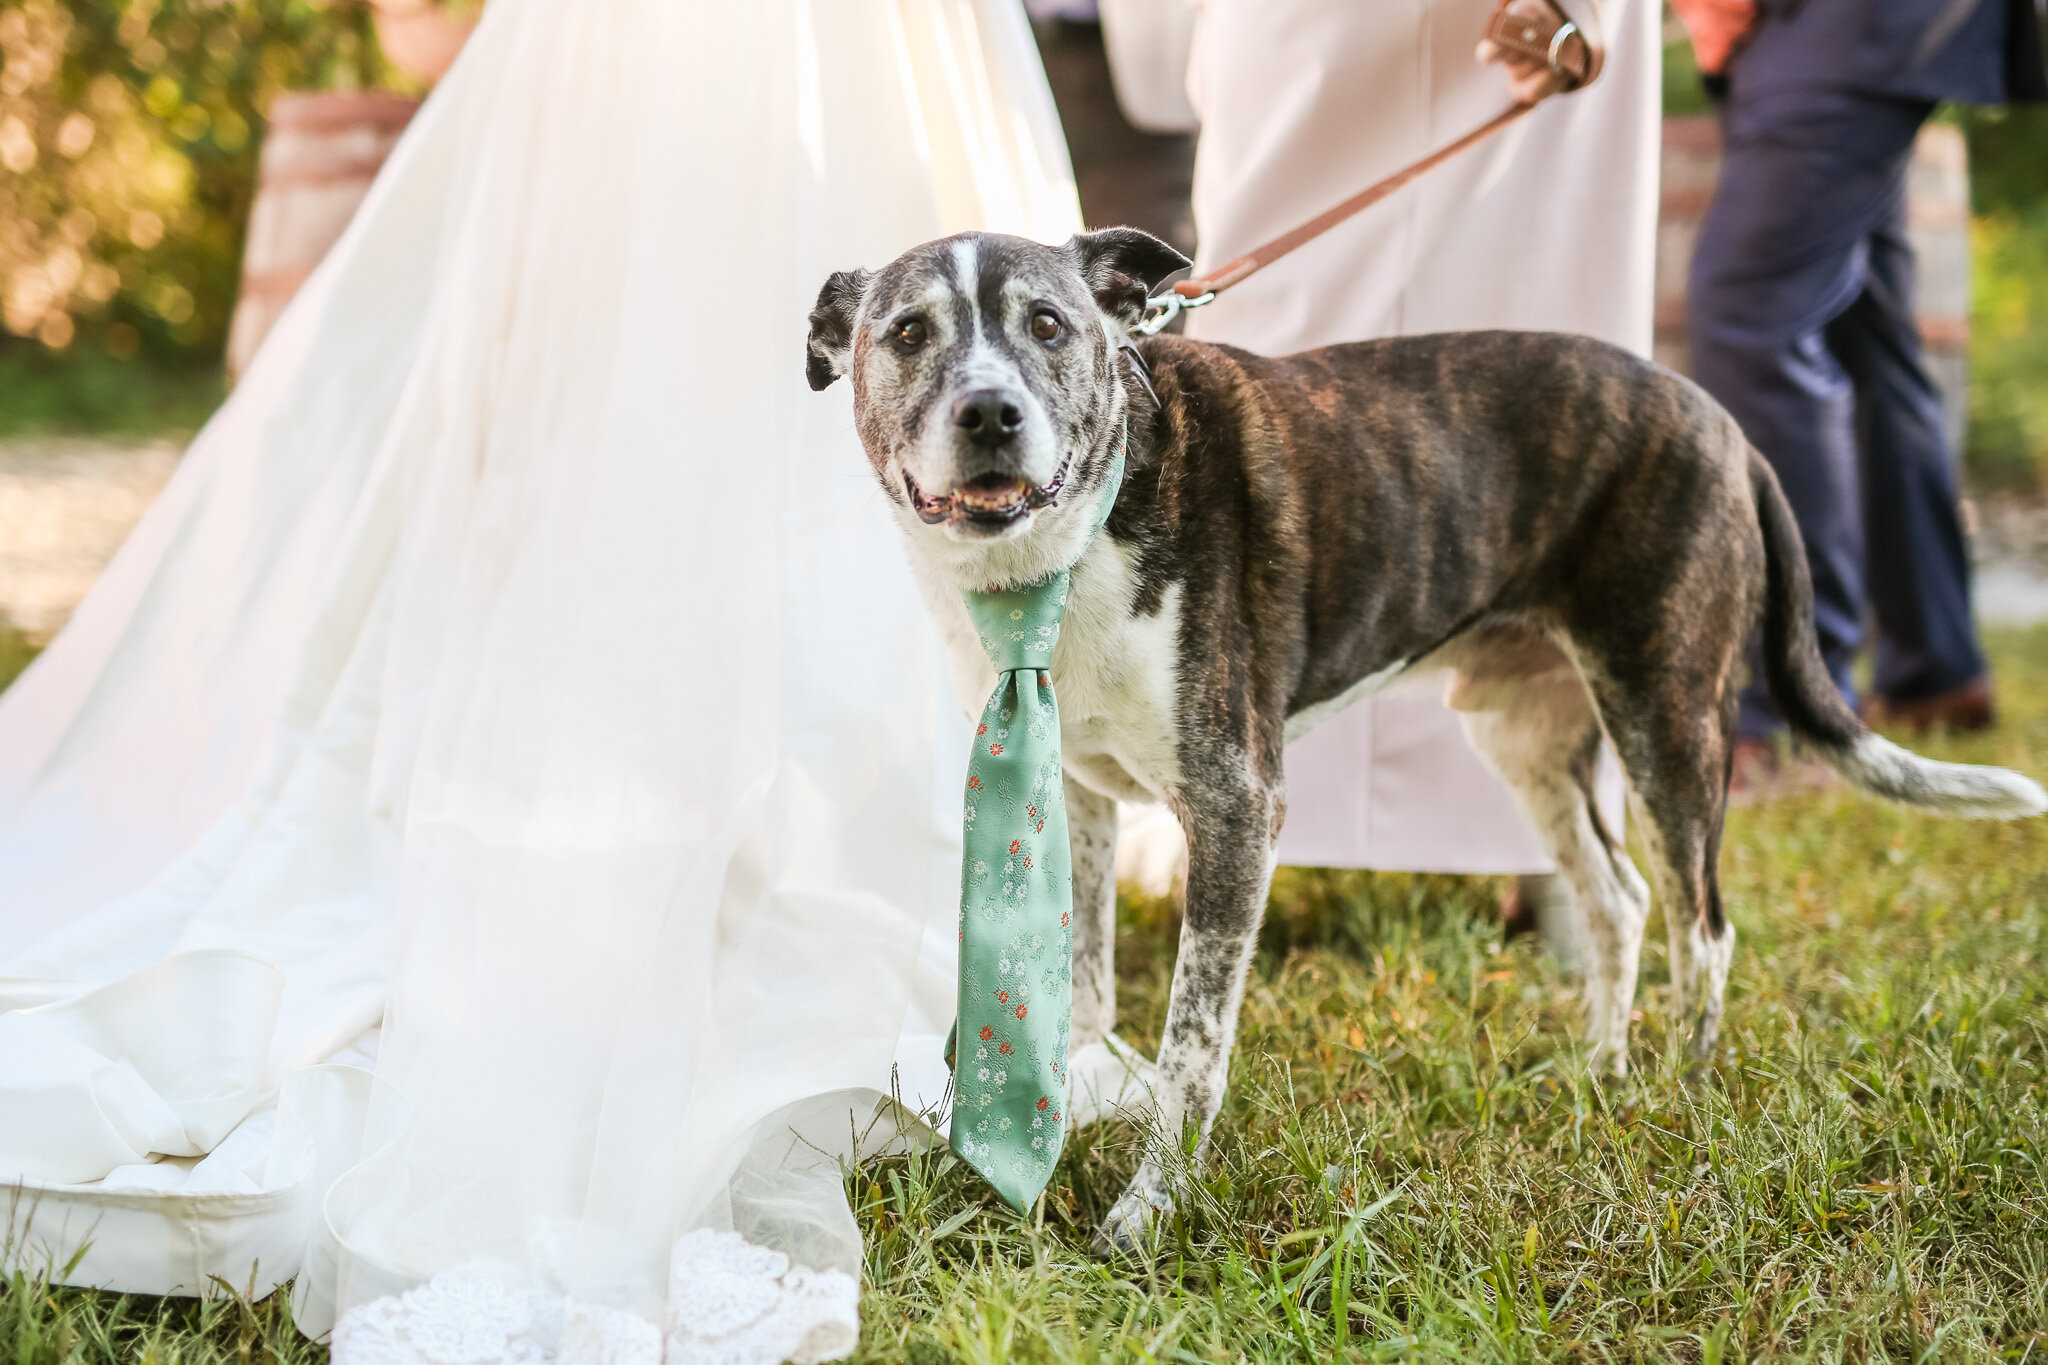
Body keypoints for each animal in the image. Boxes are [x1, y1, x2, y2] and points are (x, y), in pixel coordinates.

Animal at [802, 229, 2048, 1252]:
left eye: (1050, 326)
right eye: (907, 333)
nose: (989, 415)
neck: (1074, 542)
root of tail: (1721, 422)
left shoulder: (1235, 807)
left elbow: (1192, 1052)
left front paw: (1146, 1215)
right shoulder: (1076, 795)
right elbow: (1084, 993)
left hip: (1665, 712)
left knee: (1702, 927)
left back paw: (1685, 1097)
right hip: (1525, 733)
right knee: (1617, 900)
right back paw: (1601, 1074)